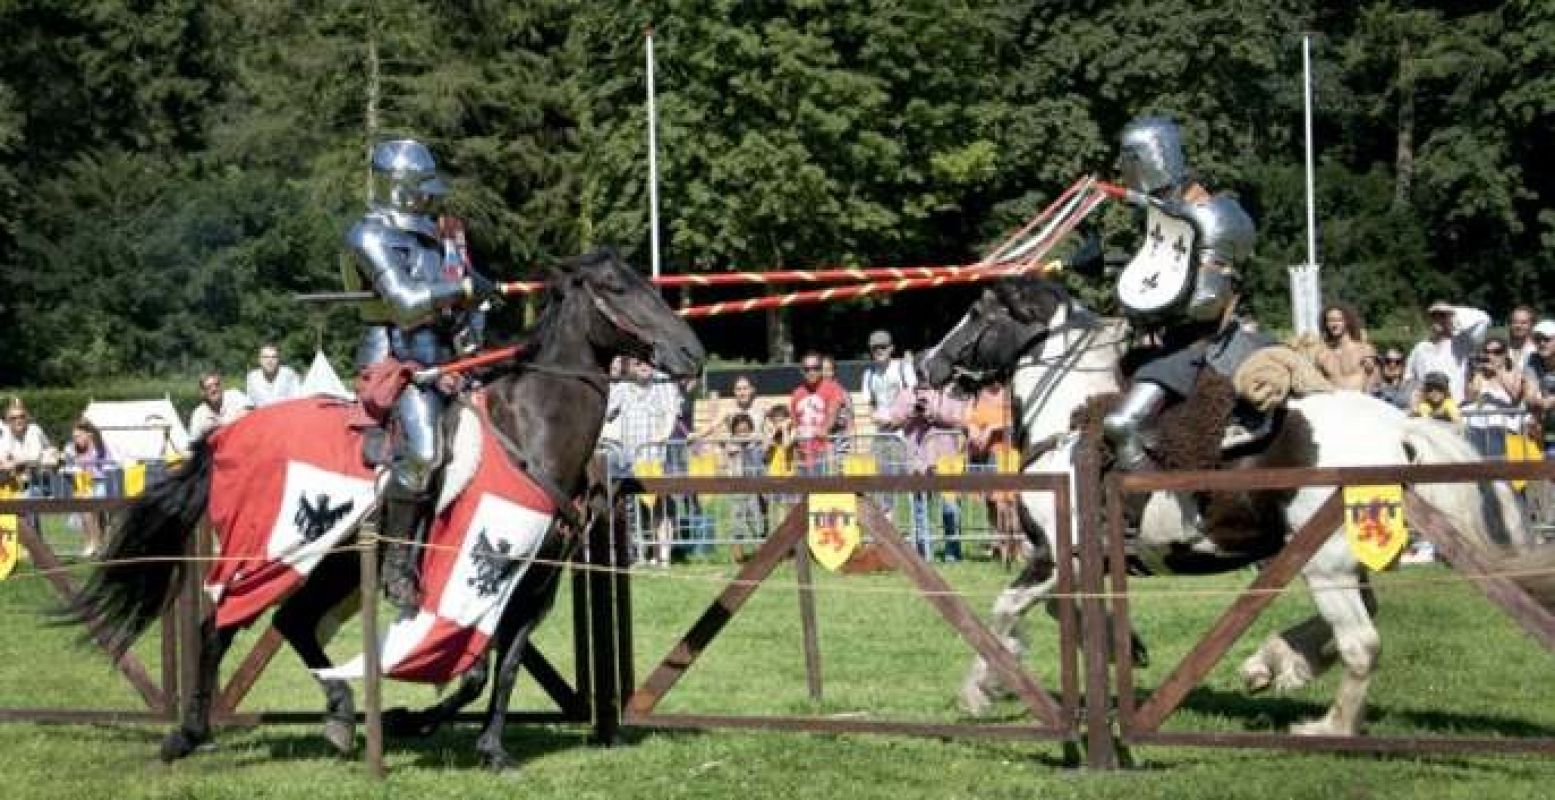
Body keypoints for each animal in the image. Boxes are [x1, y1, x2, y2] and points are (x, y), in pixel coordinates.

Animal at [69, 249, 705, 765]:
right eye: (617, 287)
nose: (692, 352)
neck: (530, 429)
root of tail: (225, 434)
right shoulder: (468, 578)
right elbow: (477, 665)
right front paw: (414, 721)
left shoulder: (531, 583)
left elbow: (500, 667)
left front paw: (483, 744)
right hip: (270, 553)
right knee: (218, 625)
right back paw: (189, 734)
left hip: (336, 565)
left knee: (292, 622)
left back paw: (339, 712)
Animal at [914, 277, 1536, 731]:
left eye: (979, 312)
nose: (927, 366)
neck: (1068, 424)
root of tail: (1397, 425)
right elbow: (1063, 614)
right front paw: (1124, 648)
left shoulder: (1053, 555)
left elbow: (1004, 611)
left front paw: (982, 688)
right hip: (1334, 557)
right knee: (1360, 619)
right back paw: (1275, 662)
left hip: (1325, 562)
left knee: (1361, 642)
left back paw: (1326, 724)